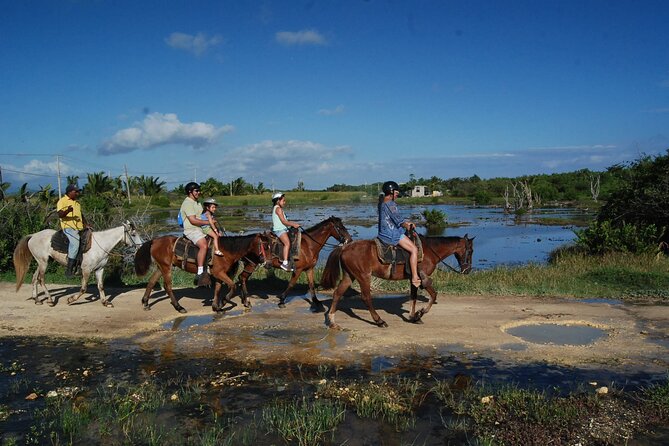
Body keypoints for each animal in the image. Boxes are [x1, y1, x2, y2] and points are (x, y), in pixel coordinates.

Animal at [13, 222, 144, 308]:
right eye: (133, 234)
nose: (141, 246)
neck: (100, 245)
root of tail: (33, 236)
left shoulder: (99, 269)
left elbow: (101, 286)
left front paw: (105, 302)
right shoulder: (86, 270)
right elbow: (83, 288)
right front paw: (71, 299)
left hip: (40, 262)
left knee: (34, 278)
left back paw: (37, 299)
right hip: (43, 263)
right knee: (41, 279)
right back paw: (50, 300)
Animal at [133, 233, 268, 314]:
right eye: (265, 246)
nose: (265, 262)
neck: (225, 251)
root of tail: (155, 241)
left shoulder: (219, 274)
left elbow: (218, 288)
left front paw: (216, 307)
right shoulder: (219, 273)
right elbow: (232, 286)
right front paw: (223, 302)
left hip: (161, 267)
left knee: (151, 282)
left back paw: (145, 303)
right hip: (166, 268)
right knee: (167, 286)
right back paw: (179, 307)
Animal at [320, 235, 472, 330]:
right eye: (470, 250)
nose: (468, 270)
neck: (429, 251)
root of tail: (344, 248)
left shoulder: (413, 279)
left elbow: (414, 297)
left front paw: (413, 316)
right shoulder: (422, 279)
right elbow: (433, 295)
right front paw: (420, 313)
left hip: (349, 276)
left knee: (337, 293)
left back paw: (332, 322)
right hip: (363, 276)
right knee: (366, 297)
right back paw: (379, 321)